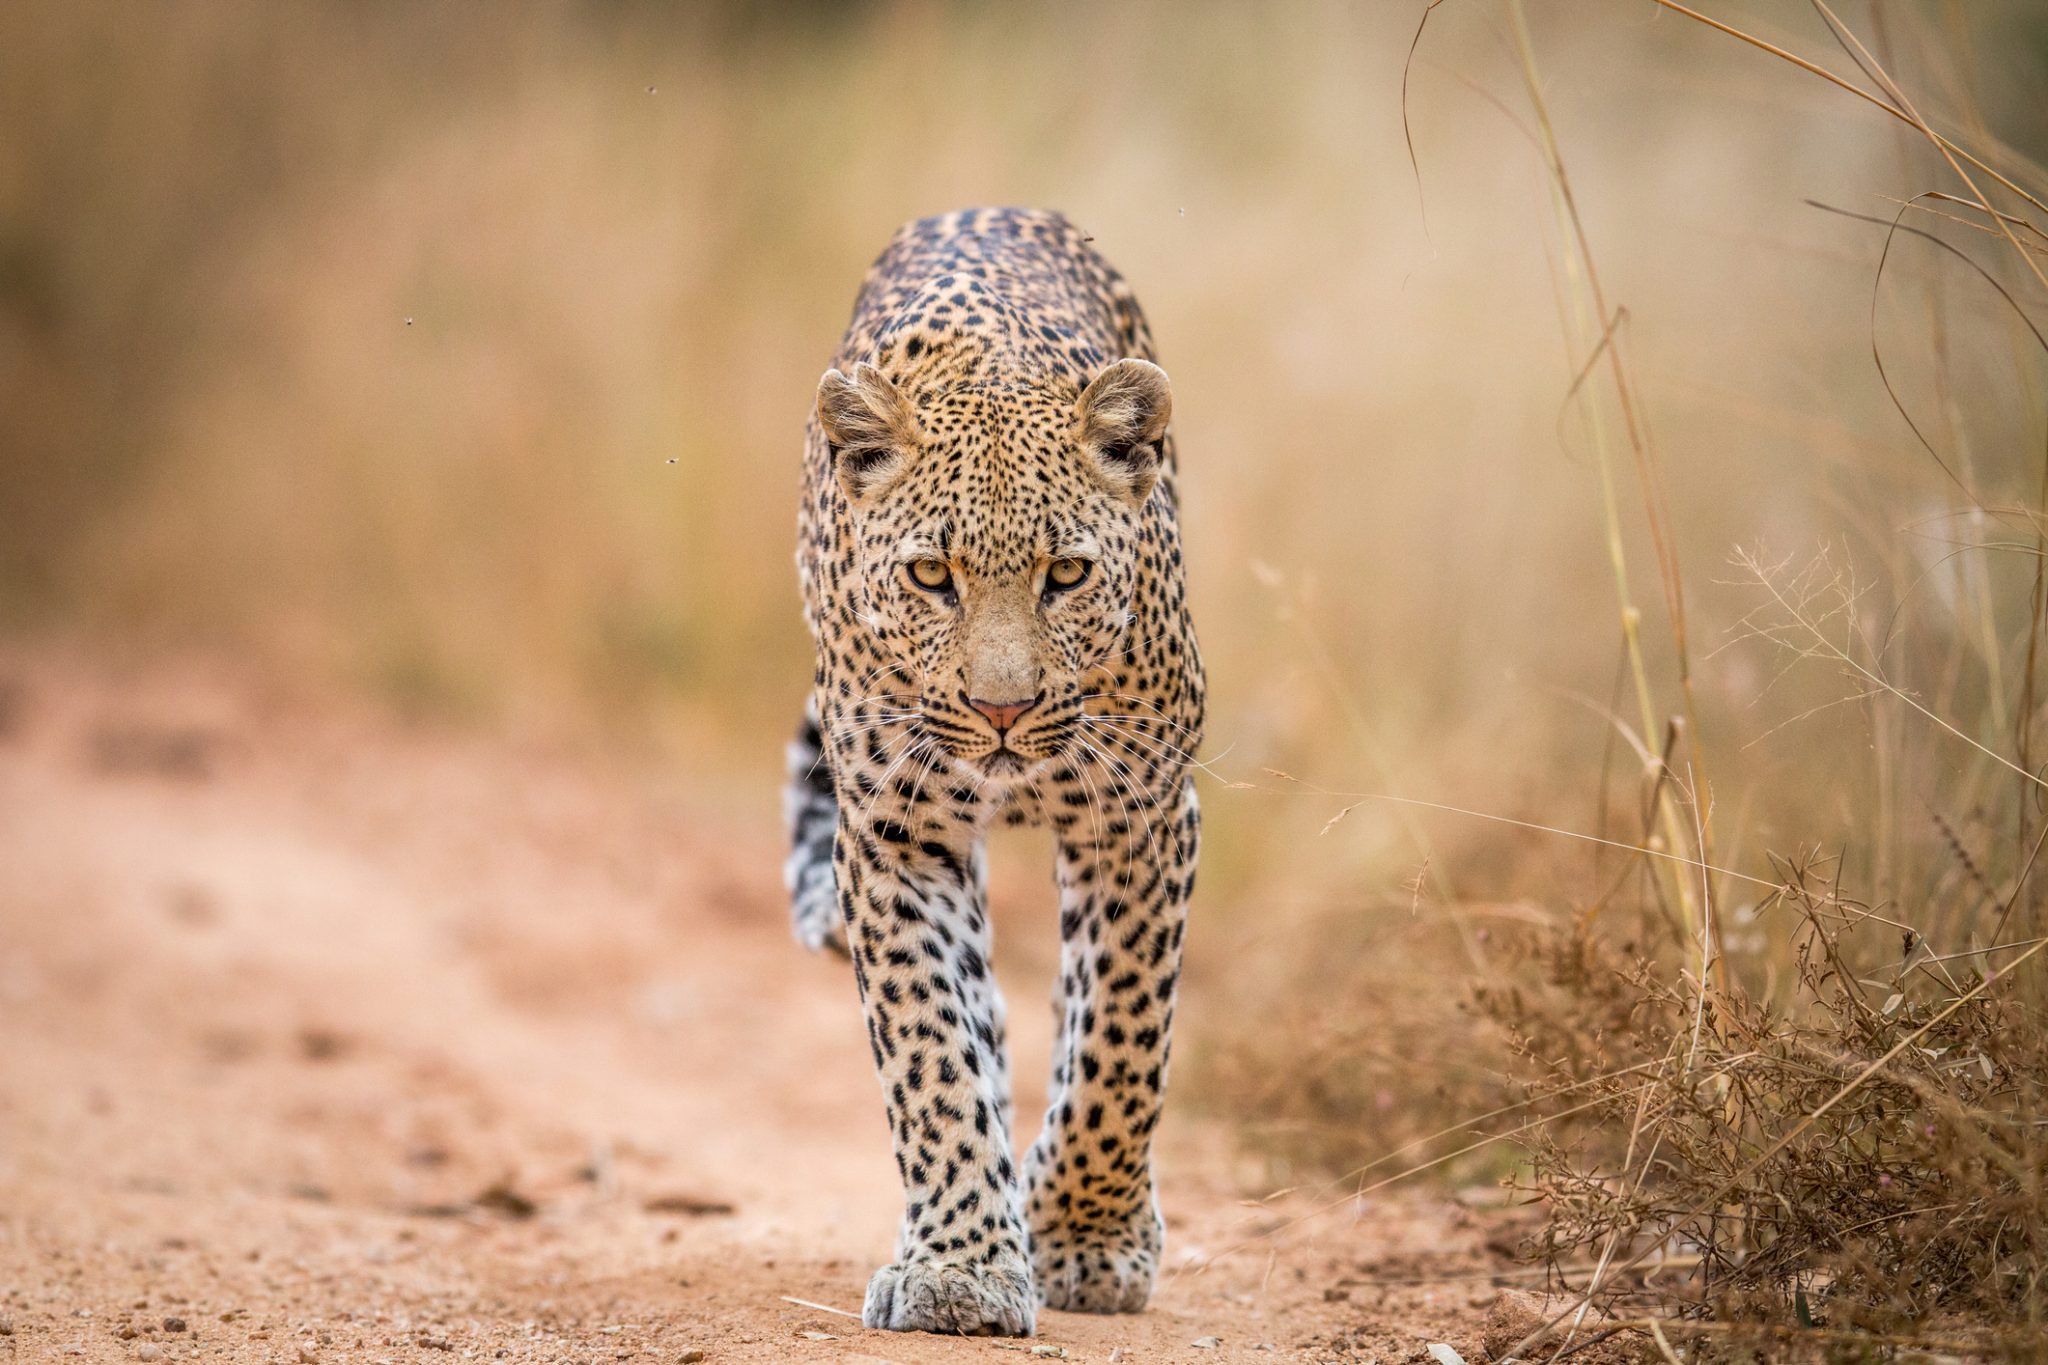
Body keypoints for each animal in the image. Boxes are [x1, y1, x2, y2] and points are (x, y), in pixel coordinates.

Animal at [778, 208, 1196, 1342]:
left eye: (1067, 574)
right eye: (932, 575)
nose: (1000, 710)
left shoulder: (1141, 817)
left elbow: (1120, 1040)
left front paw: (1087, 1239)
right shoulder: (895, 836)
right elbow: (931, 1050)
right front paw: (961, 1267)